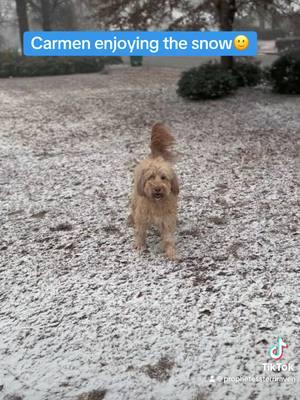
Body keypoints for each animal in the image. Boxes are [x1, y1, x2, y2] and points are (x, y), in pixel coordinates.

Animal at [129, 123, 180, 260]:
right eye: (151, 177)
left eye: (163, 177)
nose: (157, 188)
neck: (156, 202)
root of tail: (154, 157)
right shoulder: (141, 216)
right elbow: (140, 231)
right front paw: (139, 245)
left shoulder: (167, 219)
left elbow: (168, 237)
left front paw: (171, 252)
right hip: (135, 198)